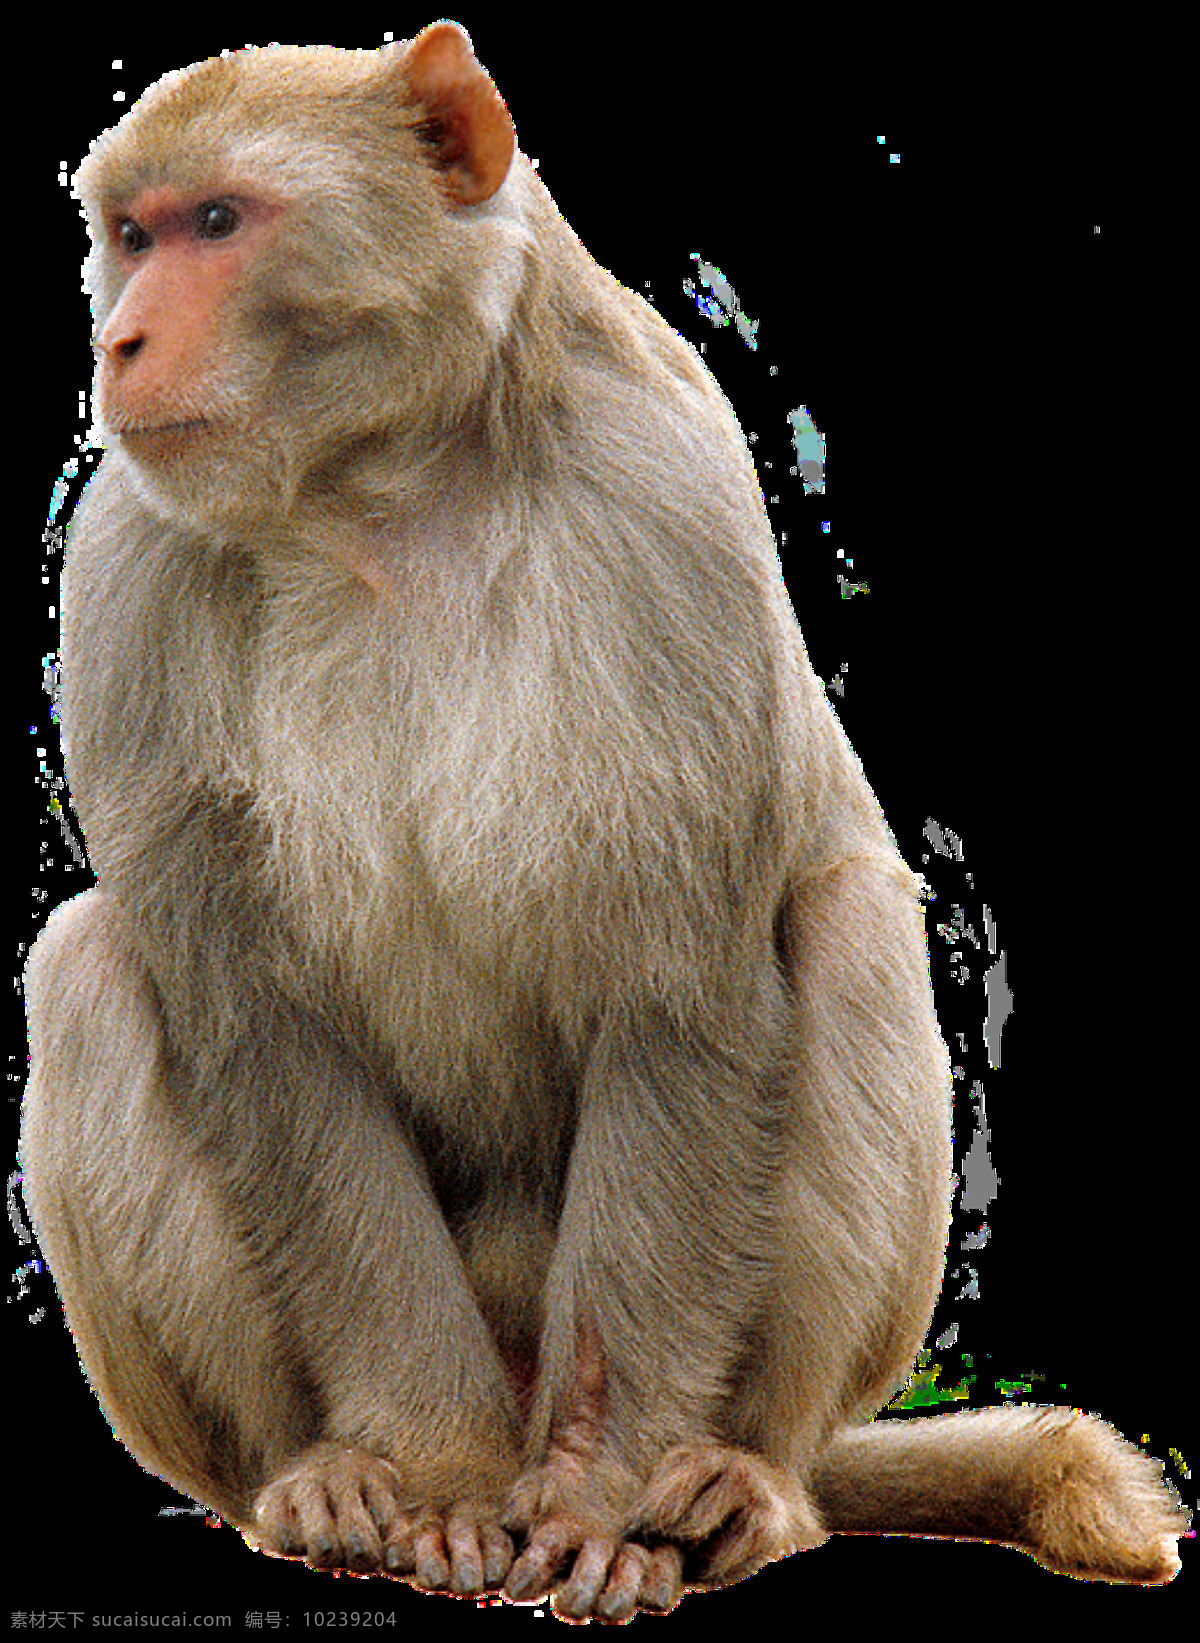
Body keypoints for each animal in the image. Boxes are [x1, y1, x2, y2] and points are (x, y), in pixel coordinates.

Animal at [20, 22, 1185, 1621]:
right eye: (130, 237)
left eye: (216, 222)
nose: (121, 342)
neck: (383, 490)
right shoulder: (127, 568)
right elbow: (262, 1031)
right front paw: (435, 1474)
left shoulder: (664, 514)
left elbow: (678, 997)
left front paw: (592, 1494)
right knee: (88, 964)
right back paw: (314, 1482)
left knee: (846, 924)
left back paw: (738, 1486)